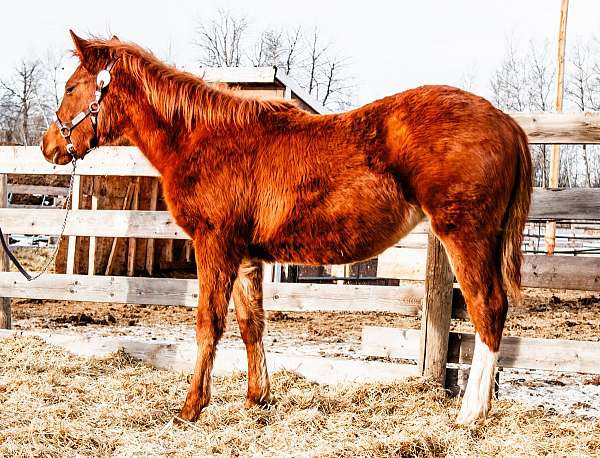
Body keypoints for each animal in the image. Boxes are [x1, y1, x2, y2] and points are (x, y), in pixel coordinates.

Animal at [41, 32, 528, 426]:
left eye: (70, 87)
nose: (49, 146)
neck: (204, 138)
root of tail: (506, 122)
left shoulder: (214, 244)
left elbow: (208, 323)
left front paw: (191, 408)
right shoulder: (244, 255)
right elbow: (249, 323)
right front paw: (256, 399)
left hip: (465, 235)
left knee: (488, 309)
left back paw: (470, 413)